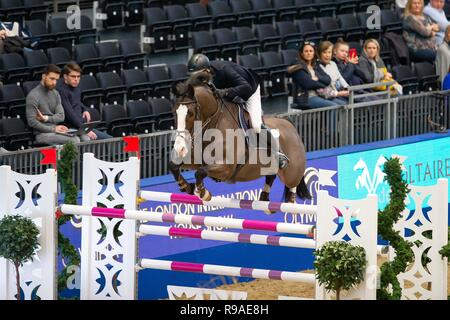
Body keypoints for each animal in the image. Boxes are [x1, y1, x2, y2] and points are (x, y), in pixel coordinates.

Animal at [167, 77, 312, 208]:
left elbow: (200, 172)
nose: (179, 149)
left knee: (292, 185)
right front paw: (187, 187)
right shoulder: (196, 160)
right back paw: (265, 199)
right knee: (271, 176)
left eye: (190, 113)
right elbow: (174, 166)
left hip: (292, 173)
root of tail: (290, 125)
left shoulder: (226, 167)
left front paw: (203, 192)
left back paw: (290, 201)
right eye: (174, 112)